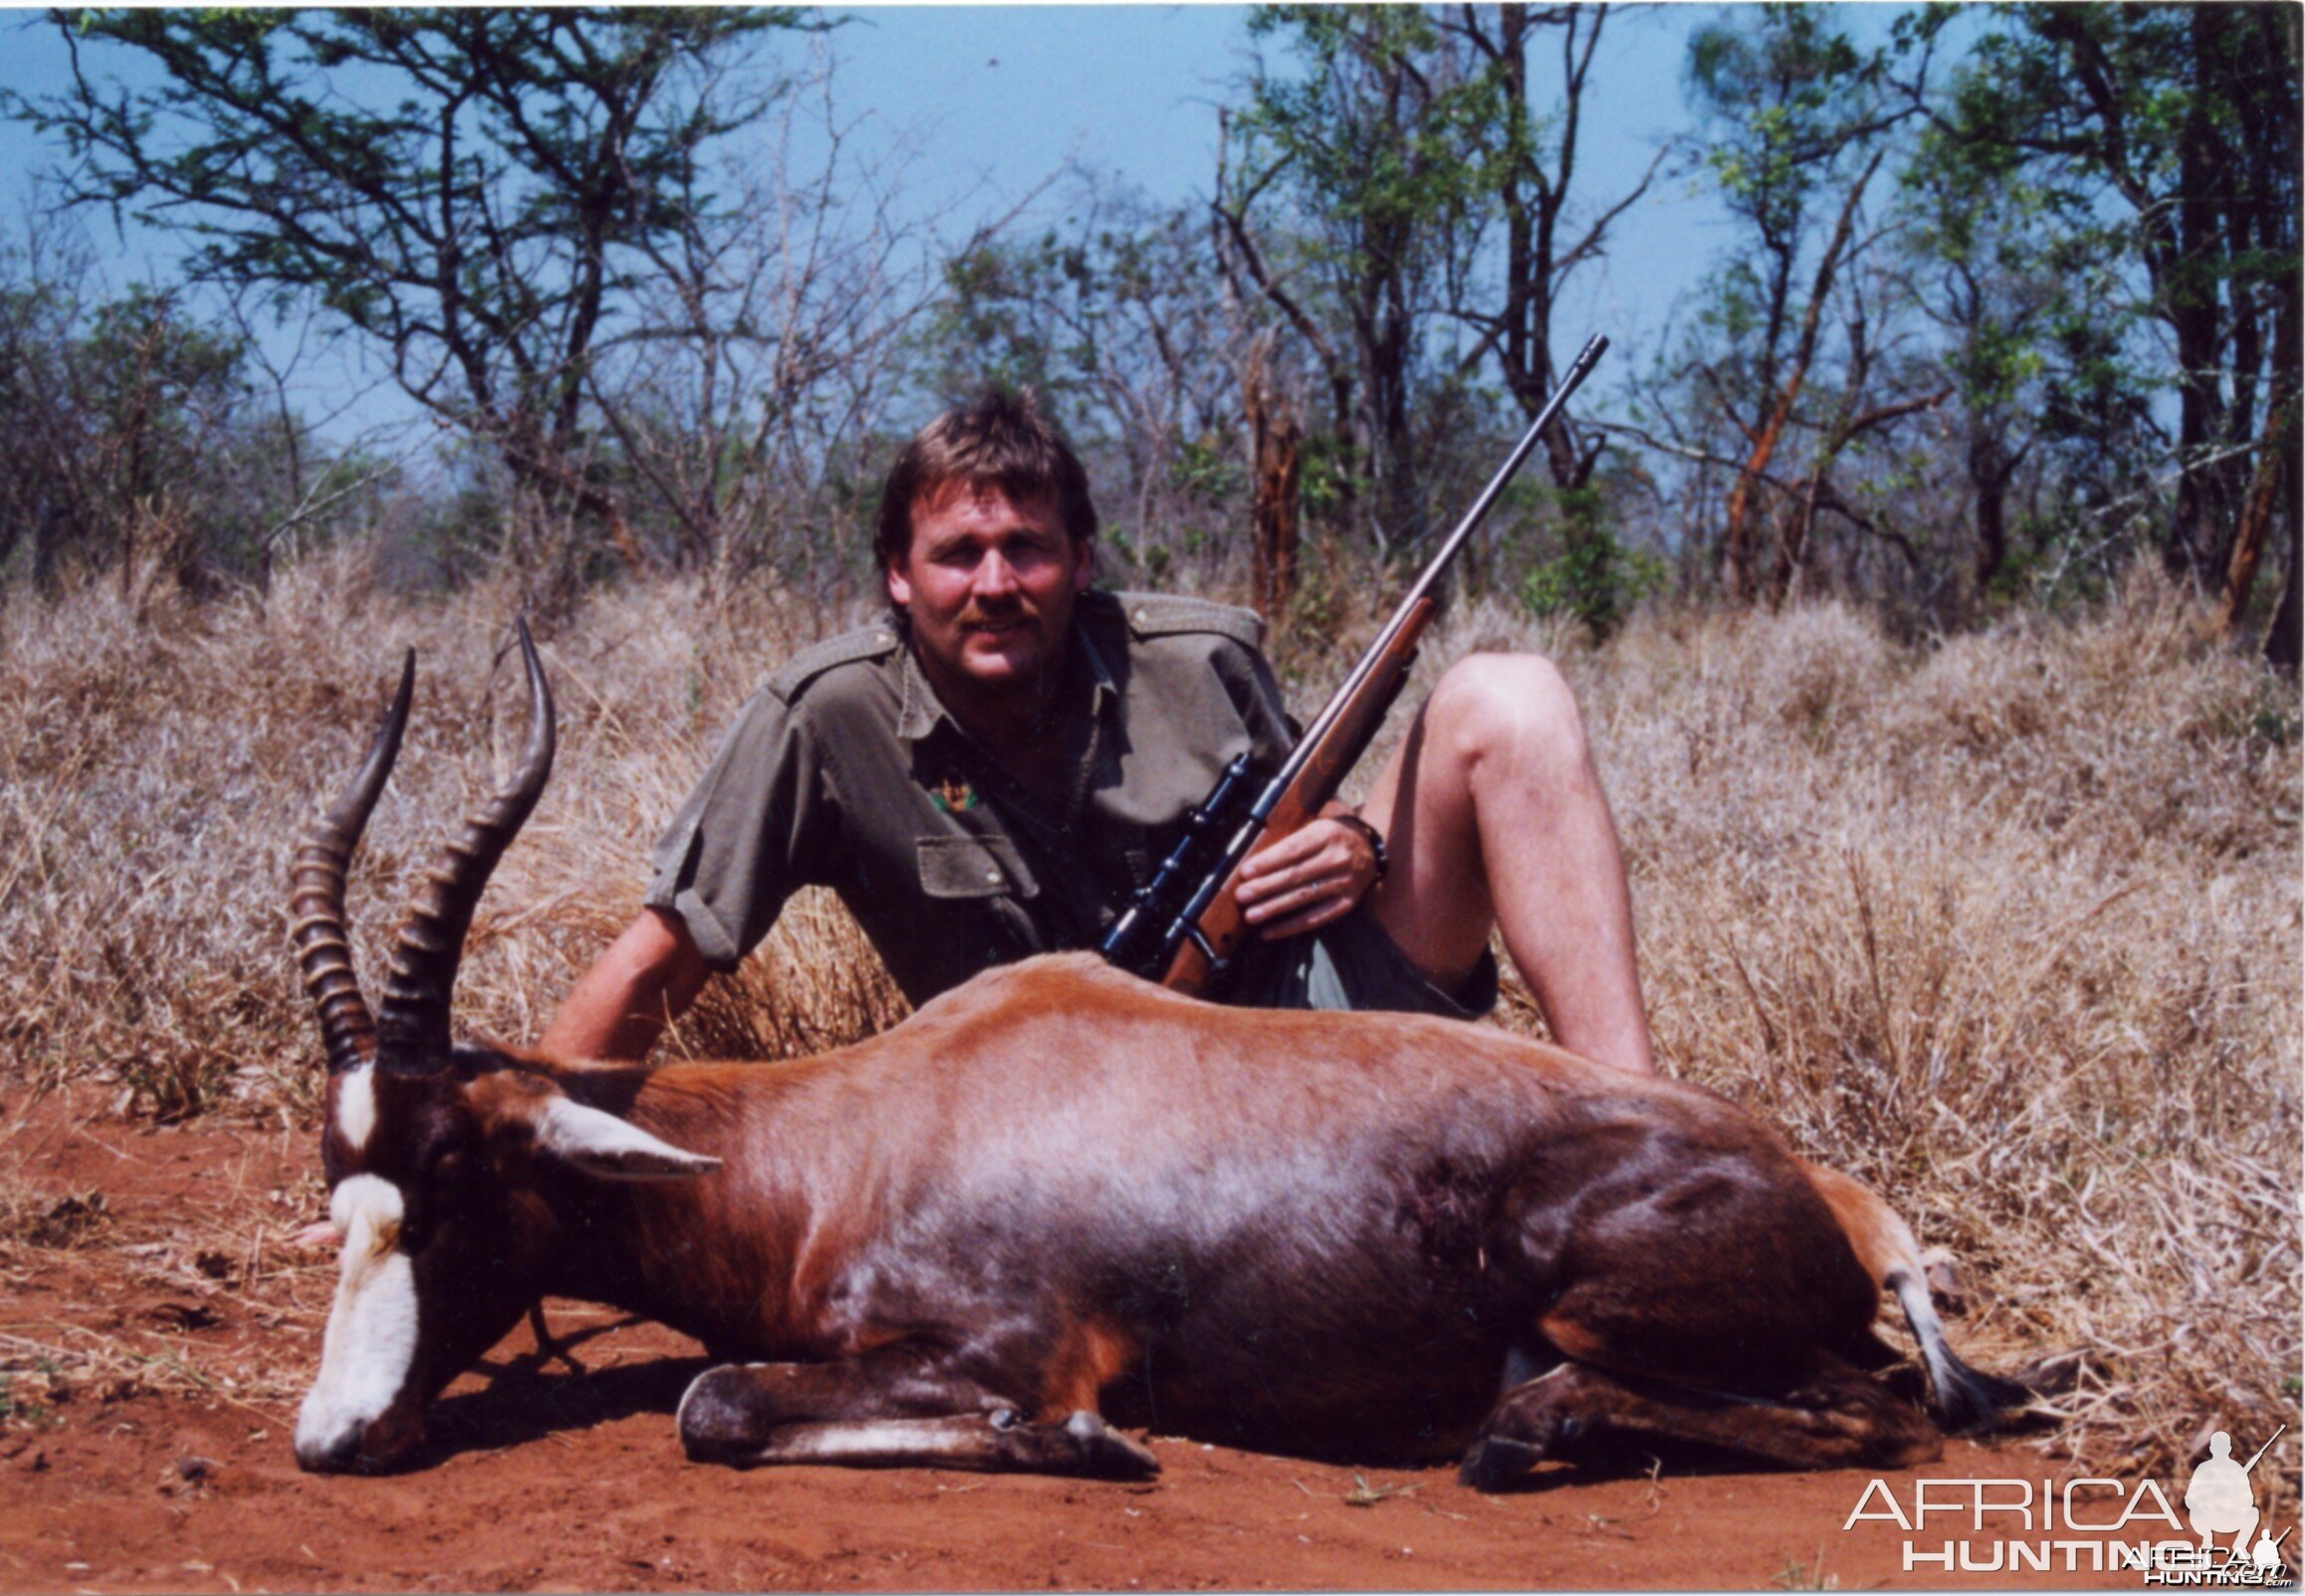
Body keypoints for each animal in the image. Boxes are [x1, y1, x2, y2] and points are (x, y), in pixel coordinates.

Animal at [283, 621, 2018, 1483]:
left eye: (453, 1172)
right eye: (339, 1178)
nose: (334, 1442)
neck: (871, 1124)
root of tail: (1835, 1205)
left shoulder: (1010, 1342)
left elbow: (717, 1403)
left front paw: (1088, 1447)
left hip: (1608, 1302)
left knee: (1862, 1416)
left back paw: (1526, 1433)